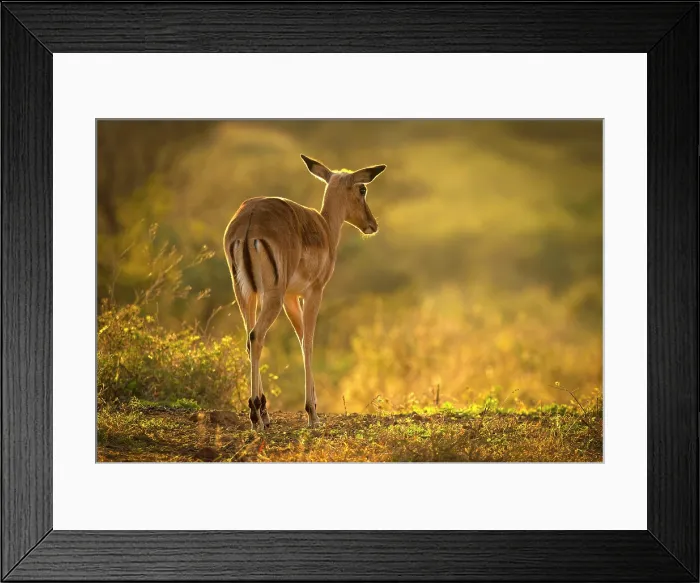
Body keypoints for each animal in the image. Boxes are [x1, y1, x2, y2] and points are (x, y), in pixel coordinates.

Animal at [223, 154, 387, 429]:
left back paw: (261, 413)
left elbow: (300, 339)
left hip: (245, 294)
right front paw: (312, 414)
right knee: (257, 336)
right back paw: (256, 414)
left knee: (249, 338)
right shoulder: (313, 292)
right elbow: (308, 342)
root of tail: (249, 222)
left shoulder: (291, 297)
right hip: (272, 296)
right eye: (362, 189)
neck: (325, 228)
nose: (372, 225)